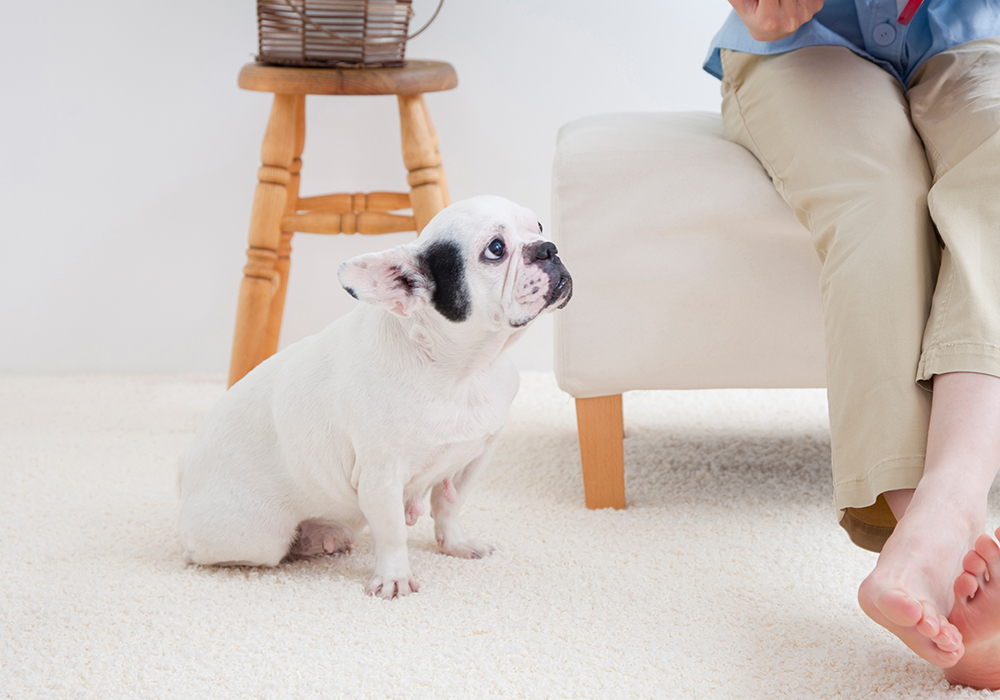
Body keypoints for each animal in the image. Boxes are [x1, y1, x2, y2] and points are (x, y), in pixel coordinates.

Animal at [177, 196, 576, 596]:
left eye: (539, 227)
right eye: (495, 249)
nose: (549, 248)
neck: (462, 370)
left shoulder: (474, 458)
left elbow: (450, 507)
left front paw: (456, 544)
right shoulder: (381, 475)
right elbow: (392, 531)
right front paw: (394, 577)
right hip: (257, 538)